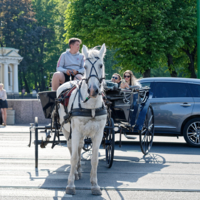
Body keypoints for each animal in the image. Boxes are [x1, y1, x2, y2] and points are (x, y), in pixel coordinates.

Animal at [57, 43, 107, 195]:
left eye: (101, 65)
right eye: (85, 66)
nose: (93, 90)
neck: (91, 106)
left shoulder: (98, 133)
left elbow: (94, 159)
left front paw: (95, 185)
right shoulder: (76, 131)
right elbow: (73, 157)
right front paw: (70, 185)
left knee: (79, 147)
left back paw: (78, 171)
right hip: (66, 130)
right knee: (71, 148)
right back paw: (75, 173)